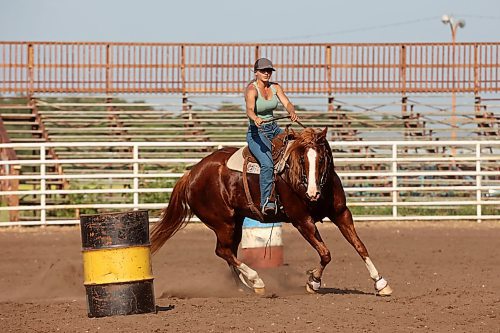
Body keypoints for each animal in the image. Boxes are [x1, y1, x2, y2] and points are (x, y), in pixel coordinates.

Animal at [150, 126, 392, 294]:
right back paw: (256, 280)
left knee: (229, 252)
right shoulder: (302, 220)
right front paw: (313, 281)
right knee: (223, 251)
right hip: (223, 223)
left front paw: (381, 283)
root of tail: (191, 174)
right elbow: (325, 253)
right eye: (301, 160)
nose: (312, 193)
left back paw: (245, 287)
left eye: (322, 158)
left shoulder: (342, 213)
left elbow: (360, 246)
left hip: (236, 222)